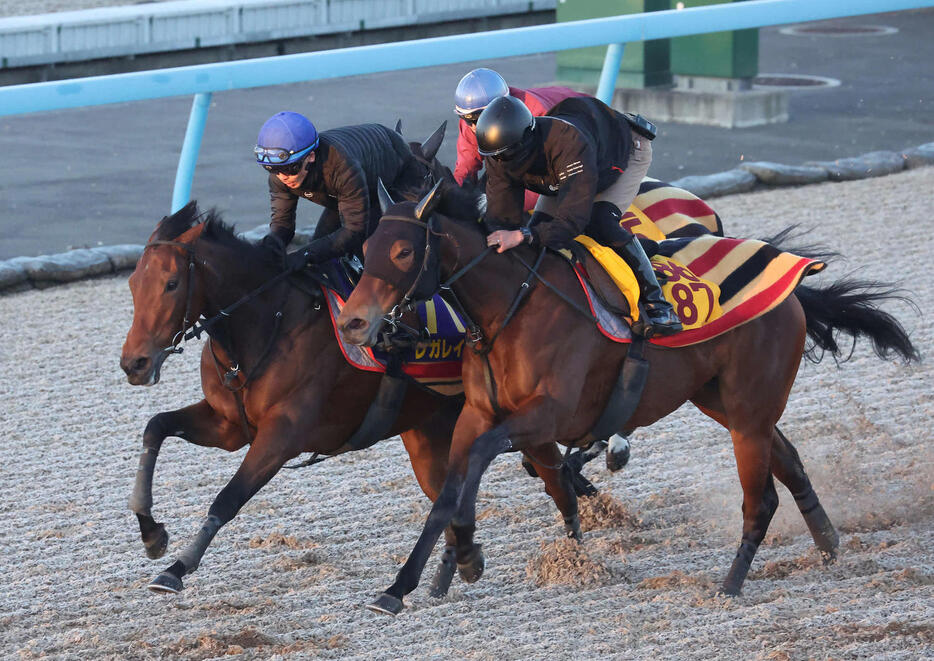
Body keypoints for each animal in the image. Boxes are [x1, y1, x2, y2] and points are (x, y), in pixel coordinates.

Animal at [120, 200, 588, 592]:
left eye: (172, 283)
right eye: (132, 282)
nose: (134, 363)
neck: (267, 323)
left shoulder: (281, 435)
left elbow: (227, 498)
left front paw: (177, 568)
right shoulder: (229, 425)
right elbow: (155, 427)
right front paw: (151, 533)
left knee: (555, 478)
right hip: (430, 431)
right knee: (449, 489)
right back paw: (460, 560)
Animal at [336, 180, 920, 612]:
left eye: (403, 250)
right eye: (364, 249)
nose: (353, 322)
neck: (511, 309)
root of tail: (794, 281)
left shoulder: (547, 416)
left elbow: (483, 465)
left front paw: (461, 559)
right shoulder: (478, 414)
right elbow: (448, 492)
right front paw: (414, 581)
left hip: (749, 410)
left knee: (762, 498)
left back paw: (731, 584)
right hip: (725, 403)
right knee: (791, 463)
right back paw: (829, 545)